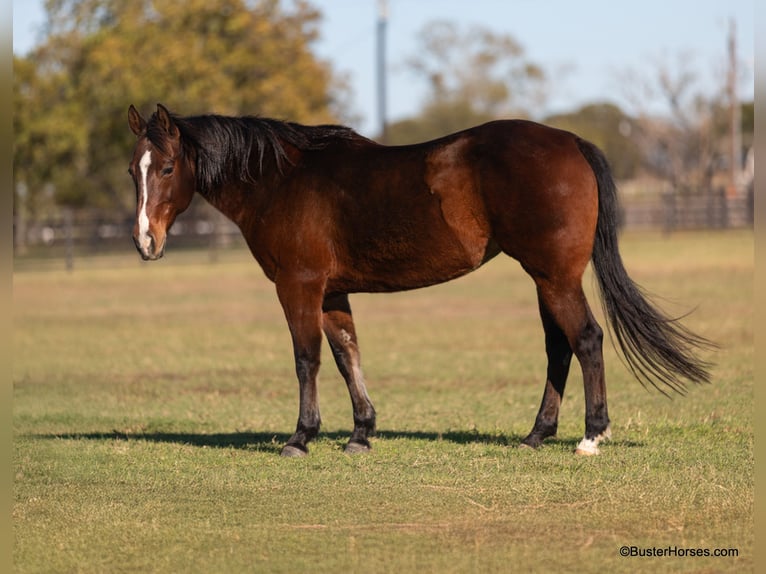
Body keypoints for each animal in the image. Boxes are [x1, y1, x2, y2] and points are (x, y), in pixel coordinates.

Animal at [127, 103, 713, 457]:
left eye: (167, 168)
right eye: (134, 170)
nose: (144, 242)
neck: (282, 180)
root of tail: (570, 141)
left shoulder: (299, 285)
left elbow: (307, 359)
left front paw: (301, 436)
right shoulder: (333, 290)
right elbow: (347, 354)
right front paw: (361, 433)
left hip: (555, 277)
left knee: (586, 339)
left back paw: (592, 435)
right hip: (546, 279)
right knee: (559, 347)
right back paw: (536, 434)